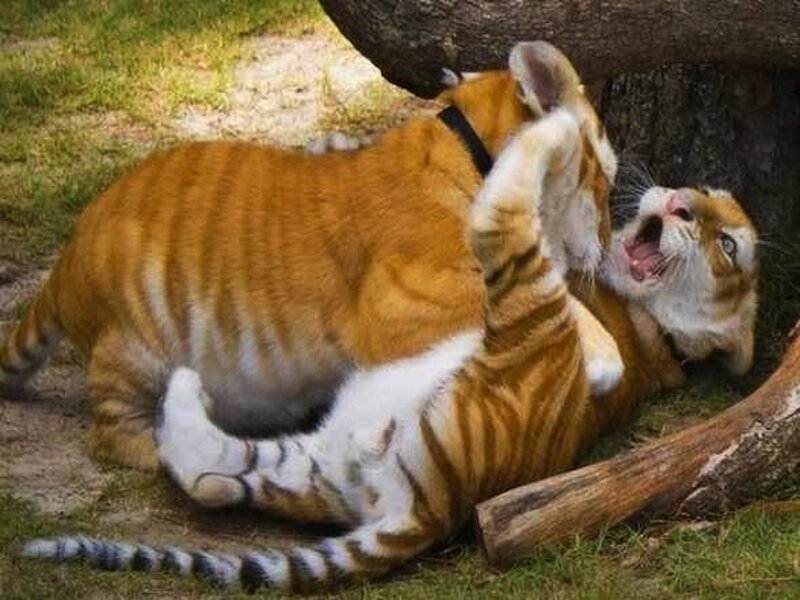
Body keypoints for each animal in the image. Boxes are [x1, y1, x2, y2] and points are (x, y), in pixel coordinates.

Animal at [0, 41, 618, 469]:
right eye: (607, 180)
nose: (609, 251)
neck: (472, 150)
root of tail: (63, 263)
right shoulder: (413, 301)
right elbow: (554, 305)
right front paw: (604, 356)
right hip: (130, 348)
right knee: (109, 433)